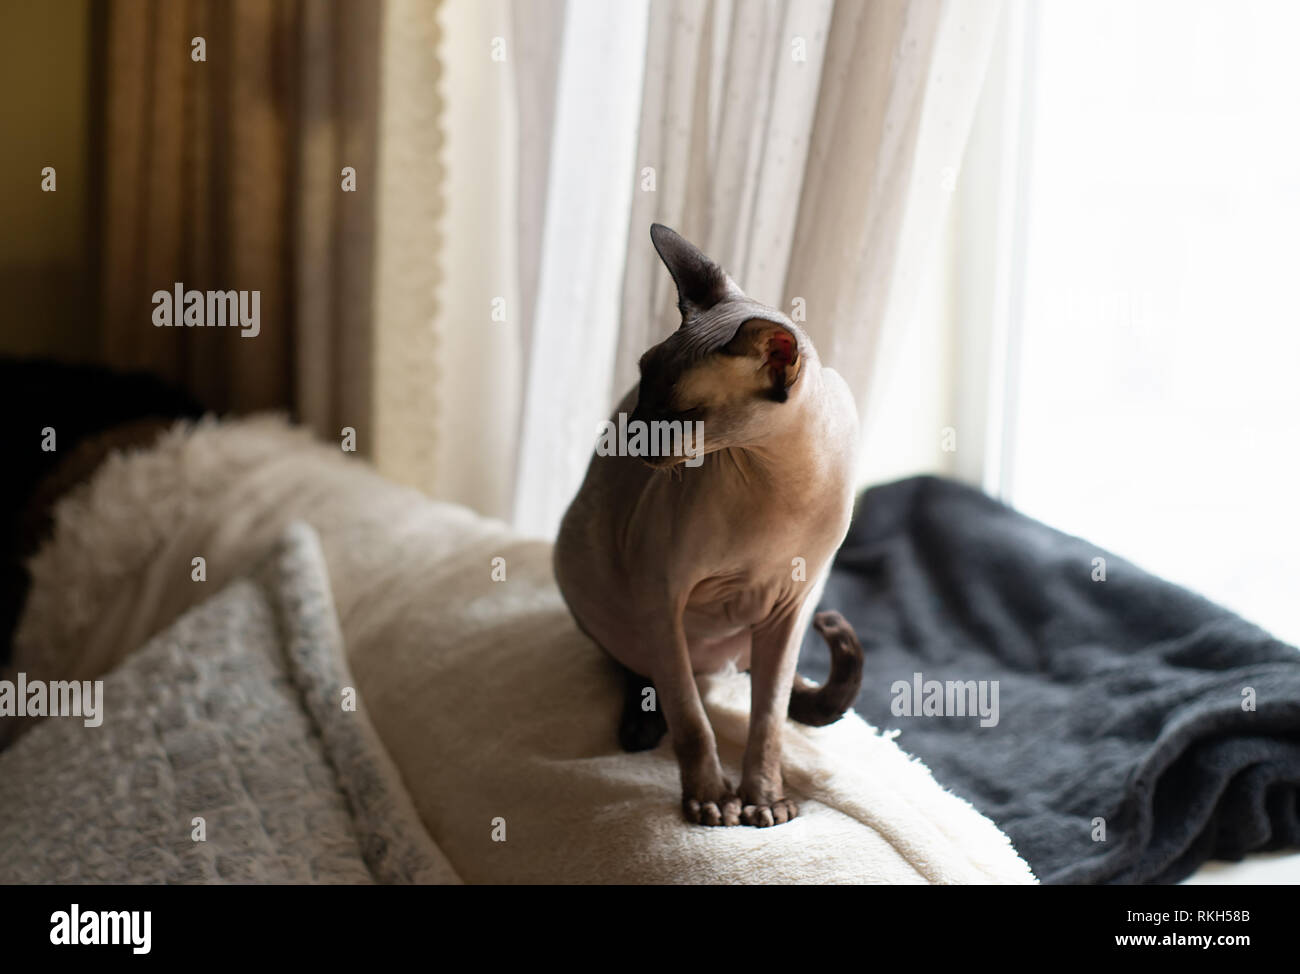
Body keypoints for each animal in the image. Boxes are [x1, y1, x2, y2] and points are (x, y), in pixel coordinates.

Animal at [551, 223, 863, 827]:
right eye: (643, 381)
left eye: (681, 417)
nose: (630, 437)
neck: (780, 481)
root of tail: (715, 665)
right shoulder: (662, 597)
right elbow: (691, 719)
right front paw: (713, 800)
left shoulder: (791, 609)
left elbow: (768, 721)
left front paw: (763, 800)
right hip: (595, 579)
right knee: (651, 676)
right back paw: (641, 728)